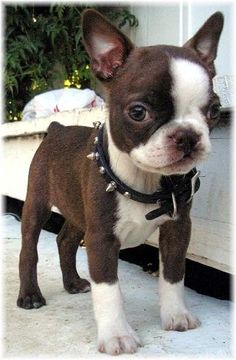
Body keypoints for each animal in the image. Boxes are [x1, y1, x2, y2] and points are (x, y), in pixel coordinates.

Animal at [17, 10, 224, 354]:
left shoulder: (178, 228)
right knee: (29, 248)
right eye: (138, 112)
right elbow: (108, 290)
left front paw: (176, 315)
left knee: (65, 240)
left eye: (215, 110)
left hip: (78, 210)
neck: (145, 179)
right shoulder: (102, 237)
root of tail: (58, 126)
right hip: (37, 203)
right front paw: (116, 335)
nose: (187, 136)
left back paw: (72, 282)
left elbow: (173, 274)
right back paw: (30, 295)